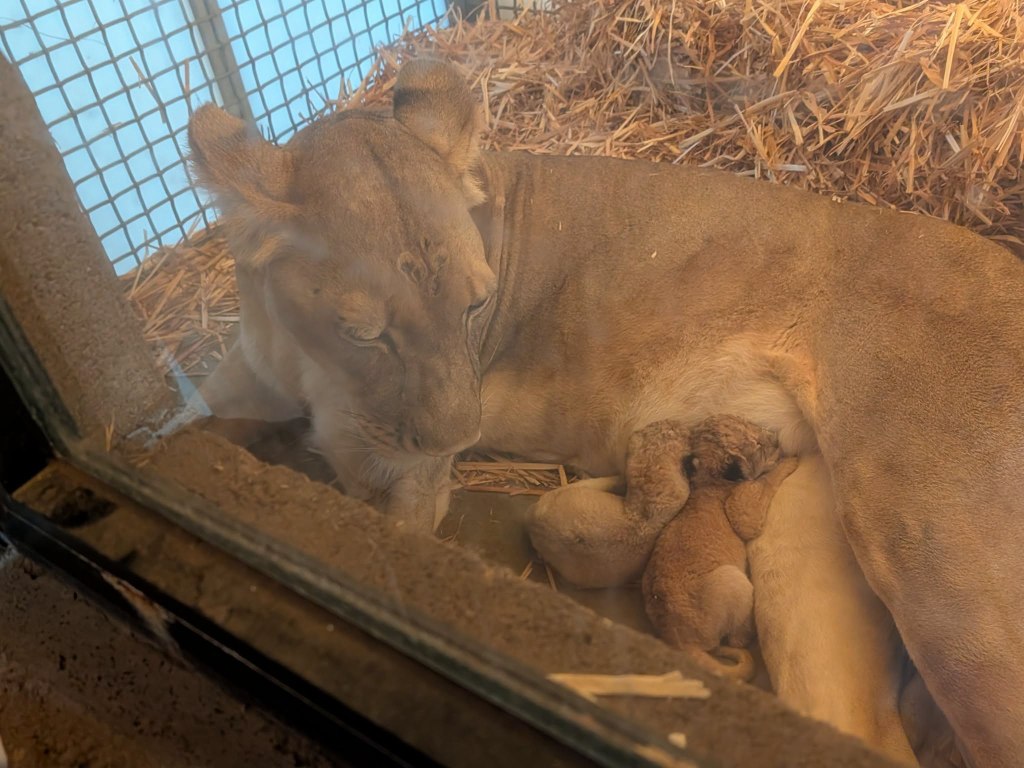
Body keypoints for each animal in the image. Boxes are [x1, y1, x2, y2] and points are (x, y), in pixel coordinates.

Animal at [188, 58, 1024, 765]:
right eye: (365, 333)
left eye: (476, 305)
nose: (463, 433)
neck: (311, 364)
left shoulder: (414, 486)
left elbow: (386, 541)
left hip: (931, 551)